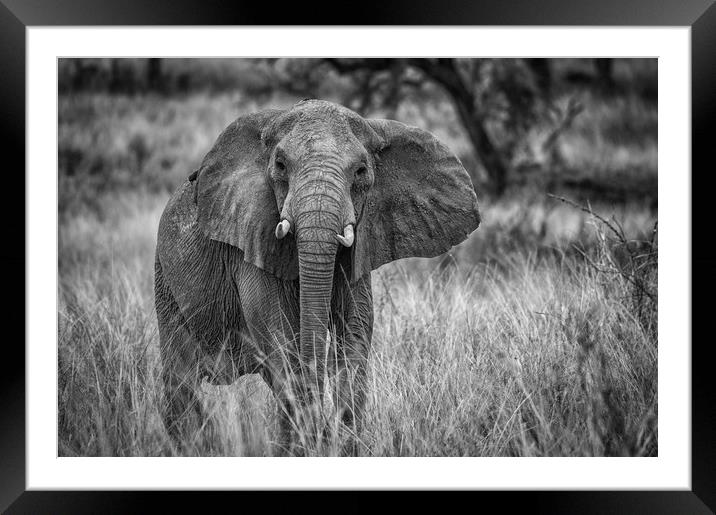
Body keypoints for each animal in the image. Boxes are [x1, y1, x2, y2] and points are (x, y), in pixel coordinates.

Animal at [156, 99, 482, 454]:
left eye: (361, 171)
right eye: (281, 165)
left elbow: (355, 328)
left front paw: (341, 444)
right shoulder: (250, 237)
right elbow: (278, 332)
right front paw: (311, 442)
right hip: (165, 282)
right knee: (180, 379)